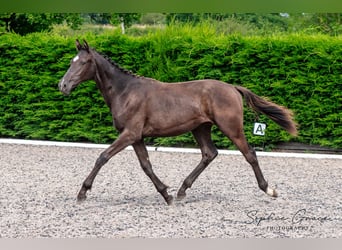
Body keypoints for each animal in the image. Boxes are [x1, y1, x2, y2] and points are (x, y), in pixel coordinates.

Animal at [58, 39, 296, 205]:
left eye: (85, 62)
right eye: (71, 62)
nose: (63, 86)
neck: (125, 92)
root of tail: (233, 88)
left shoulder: (129, 134)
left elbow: (103, 157)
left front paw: (82, 193)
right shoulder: (137, 137)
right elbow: (146, 165)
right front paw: (167, 194)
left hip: (231, 128)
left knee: (250, 154)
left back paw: (269, 190)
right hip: (201, 128)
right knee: (209, 153)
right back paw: (182, 190)